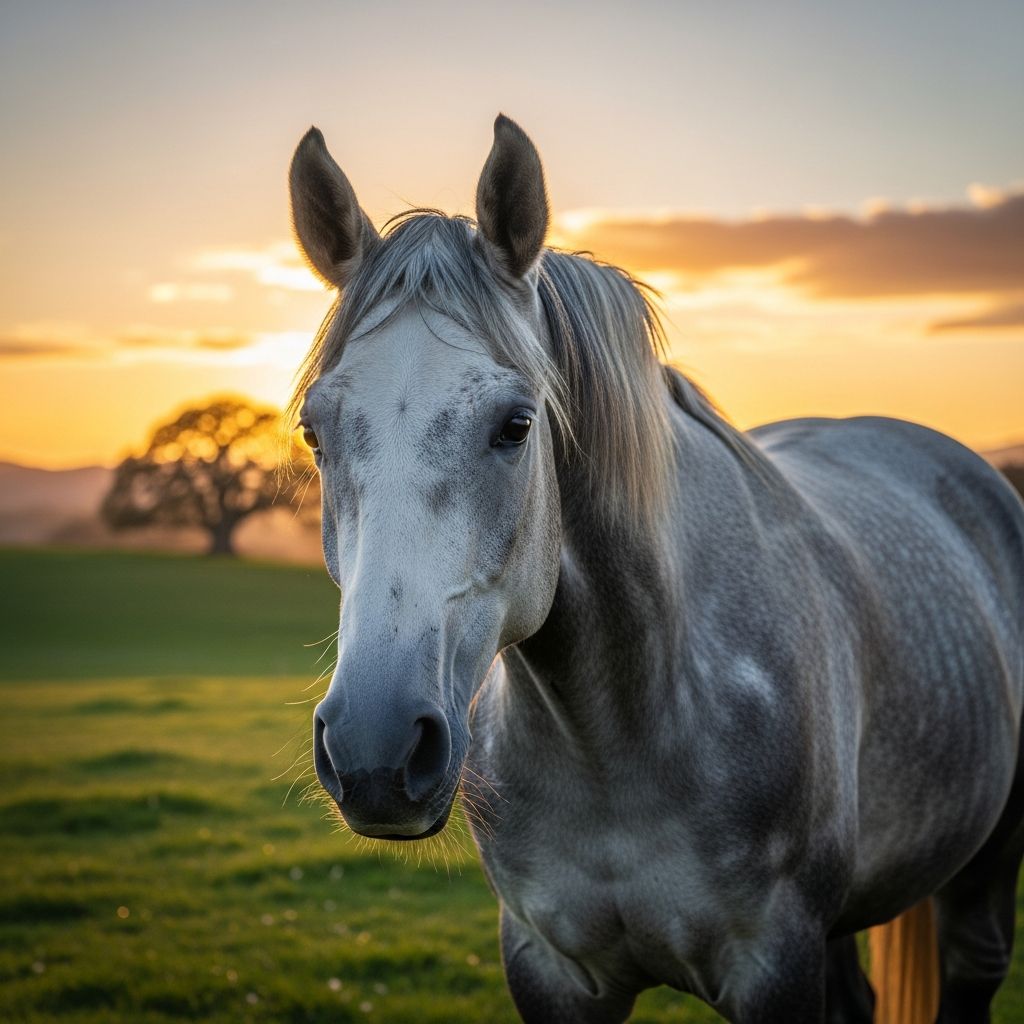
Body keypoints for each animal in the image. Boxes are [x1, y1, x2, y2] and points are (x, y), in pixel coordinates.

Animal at [287, 114, 1024, 1023]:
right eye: (315, 432)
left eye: (516, 424)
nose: (376, 747)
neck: (619, 735)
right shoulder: (549, 968)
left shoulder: (775, 965)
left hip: (983, 874)